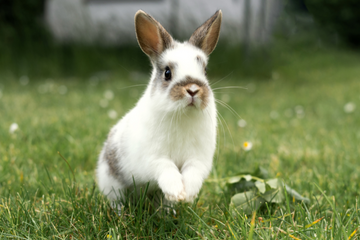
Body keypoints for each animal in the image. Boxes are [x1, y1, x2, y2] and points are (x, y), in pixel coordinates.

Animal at [98, 10, 222, 207]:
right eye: (167, 73)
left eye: (205, 71)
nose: (193, 90)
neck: (182, 115)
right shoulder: (153, 158)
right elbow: (166, 168)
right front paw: (176, 191)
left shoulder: (198, 159)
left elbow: (192, 172)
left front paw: (187, 195)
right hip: (111, 183)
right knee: (116, 199)